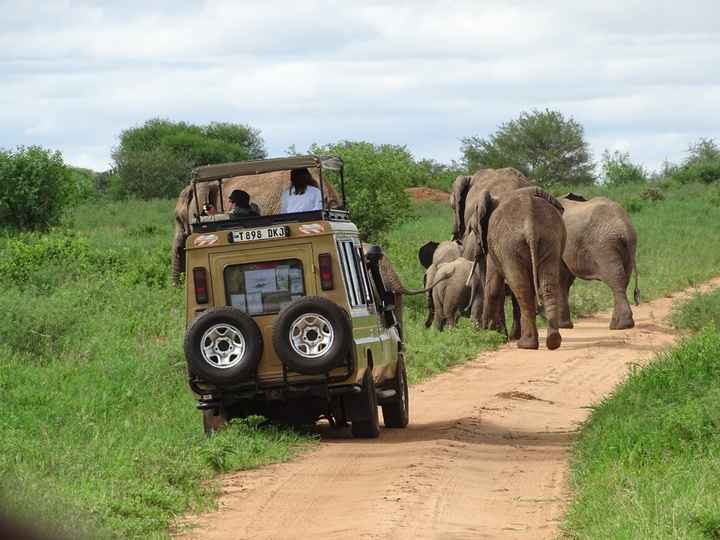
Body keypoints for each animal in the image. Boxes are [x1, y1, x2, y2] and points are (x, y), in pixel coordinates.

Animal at [466, 187, 568, 350]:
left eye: (474, 230)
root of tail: (530, 223)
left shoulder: (494, 247)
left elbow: (493, 286)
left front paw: (487, 334)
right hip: (551, 239)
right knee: (548, 285)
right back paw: (553, 341)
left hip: (510, 246)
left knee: (521, 288)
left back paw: (526, 344)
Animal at [556, 194, 640, 330]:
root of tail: (623, 228)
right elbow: (565, 279)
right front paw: (566, 325)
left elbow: (560, 278)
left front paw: (562, 326)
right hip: (628, 247)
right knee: (623, 279)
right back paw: (620, 324)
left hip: (603, 245)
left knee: (615, 278)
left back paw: (620, 326)